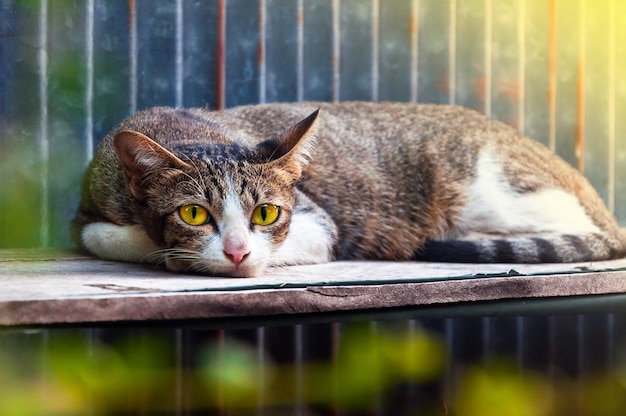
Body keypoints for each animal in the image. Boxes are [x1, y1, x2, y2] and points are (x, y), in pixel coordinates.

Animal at [73, 101, 624, 278]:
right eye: (194, 214)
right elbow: (102, 233)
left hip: (490, 188)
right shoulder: (87, 208)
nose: (236, 252)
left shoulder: (319, 223)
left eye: (266, 214)